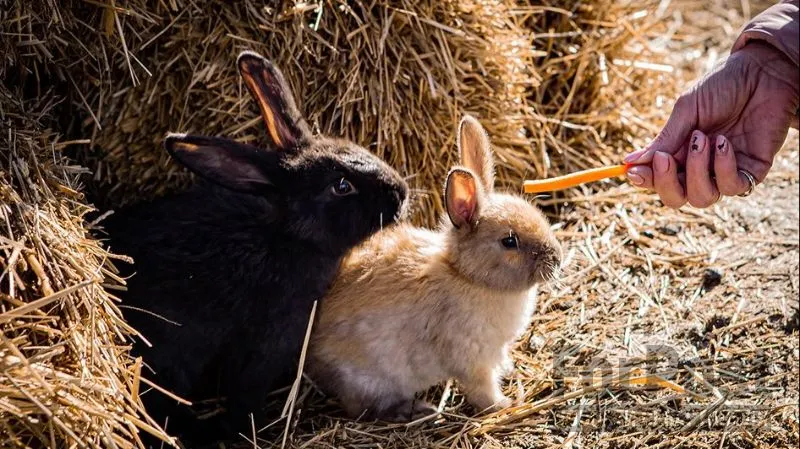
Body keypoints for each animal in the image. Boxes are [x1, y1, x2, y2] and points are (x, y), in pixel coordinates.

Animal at [103, 51, 406, 444]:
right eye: (342, 186)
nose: (401, 192)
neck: (288, 238)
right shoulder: (269, 342)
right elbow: (245, 393)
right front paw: (246, 430)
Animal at [308, 114, 564, 420]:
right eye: (509, 241)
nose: (556, 258)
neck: (467, 276)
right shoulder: (472, 358)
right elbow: (482, 390)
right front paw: (505, 405)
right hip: (369, 380)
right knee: (361, 407)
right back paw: (416, 410)